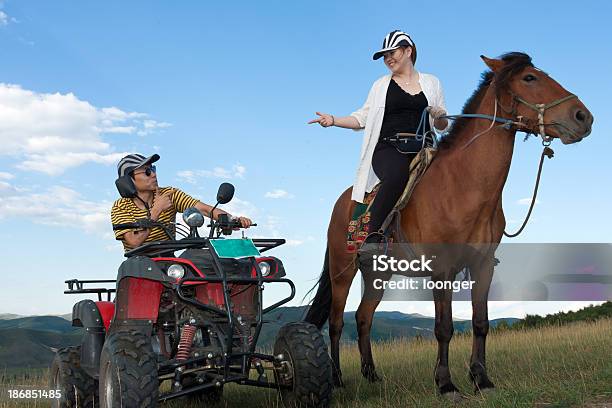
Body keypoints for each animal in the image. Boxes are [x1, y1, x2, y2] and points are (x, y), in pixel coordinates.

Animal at [304, 51, 592, 398]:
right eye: (529, 78)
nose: (583, 117)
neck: (463, 185)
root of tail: (342, 203)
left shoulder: (483, 265)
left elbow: (480, 323)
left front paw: (482, 378)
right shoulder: (442, 269)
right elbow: (443, 328)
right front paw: (445, 383)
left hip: (377, 274)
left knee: (363, 317)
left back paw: (371, 374)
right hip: (342, 271)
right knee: (335, 323)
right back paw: (335, 377)